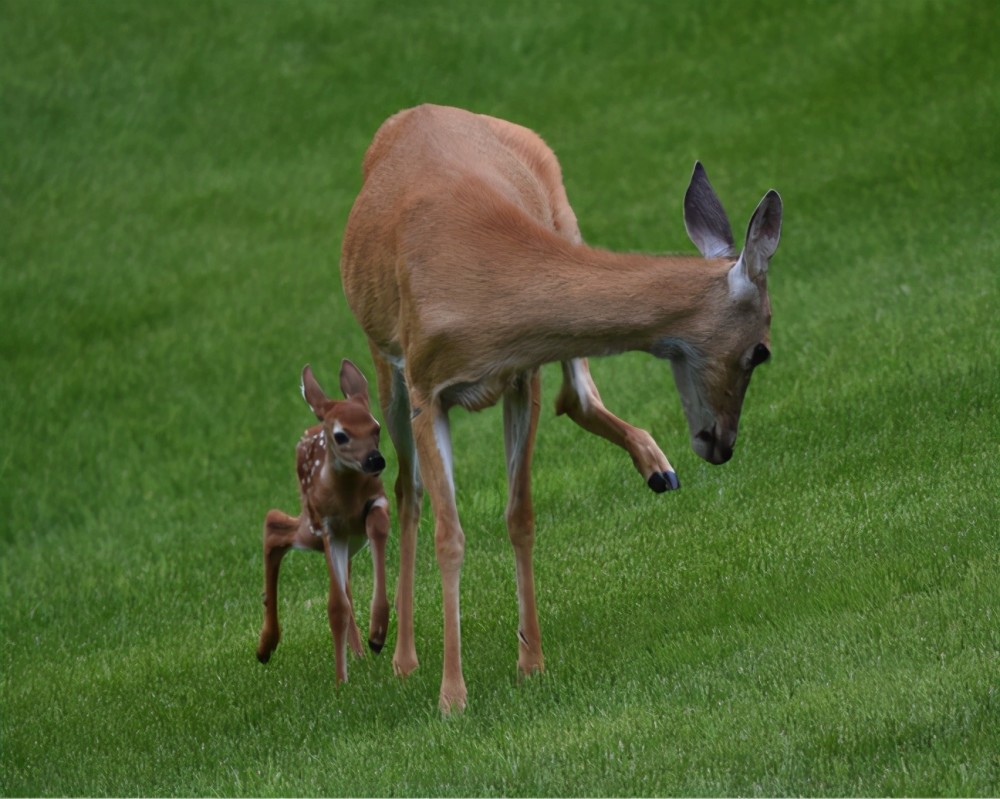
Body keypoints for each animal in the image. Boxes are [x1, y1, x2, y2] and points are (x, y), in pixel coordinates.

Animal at [258, 360, 390, 684]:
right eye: (341, 435)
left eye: (377, 427)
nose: (375, 460)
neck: (347, 498)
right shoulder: (329, 528)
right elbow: (335, 607)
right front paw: (341, 683)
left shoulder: (377, 501)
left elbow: (378, 527)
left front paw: (378, 633)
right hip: (312, 525)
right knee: (273, 524)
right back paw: (266, 646)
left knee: (347, 588)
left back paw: (360, 653)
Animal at [342, 101, 780, 712]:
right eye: (761, 350)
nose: (722, 444)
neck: (484, 296)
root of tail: (417, 110)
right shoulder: (428, 390)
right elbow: (449, 535)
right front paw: (452, 694)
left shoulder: (521, 373)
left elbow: (520, 516)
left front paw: (531, 661)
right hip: (384, 358)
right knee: (408, 491)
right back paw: (397, 652)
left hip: (564, 217)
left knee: (575, 396)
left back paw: (657, 467)